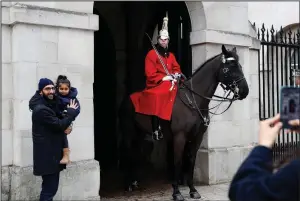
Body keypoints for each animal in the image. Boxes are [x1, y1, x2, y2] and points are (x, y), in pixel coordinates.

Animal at [118, 44, 250, 200]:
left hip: (140, 133)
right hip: (129, 132)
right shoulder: (179, 137)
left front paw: (193, 190)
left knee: (136, 152)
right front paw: (176, 192)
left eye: (240, 66)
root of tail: (126, 99)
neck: (194, 100)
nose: (245, 91)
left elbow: (191, 159)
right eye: (227, 69)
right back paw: (128, 184)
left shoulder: (197, 136)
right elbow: (178, 161)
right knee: (127, 152)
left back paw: (134, 181)